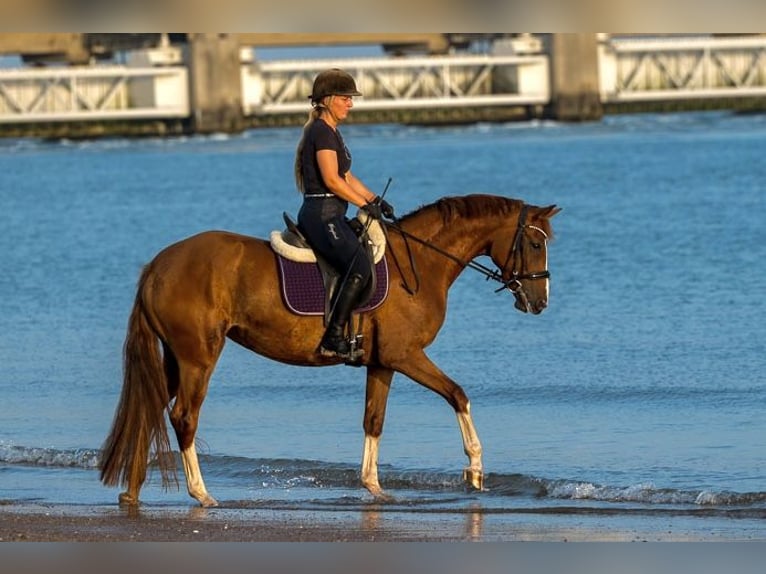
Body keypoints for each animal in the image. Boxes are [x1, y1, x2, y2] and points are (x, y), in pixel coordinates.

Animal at [99, 194, 560, 507]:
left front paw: (374, 486)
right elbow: (458, 395)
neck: (421, 262)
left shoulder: (382, 362)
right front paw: (475, 470)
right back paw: (201, 493)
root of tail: (158, 265)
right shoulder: (406, 356)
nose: (540, 302)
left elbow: (373, 421)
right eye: (536, 245)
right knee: (183, 416)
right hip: (198, 357)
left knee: (151, 406)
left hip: (175, 358)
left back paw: (133, 491)